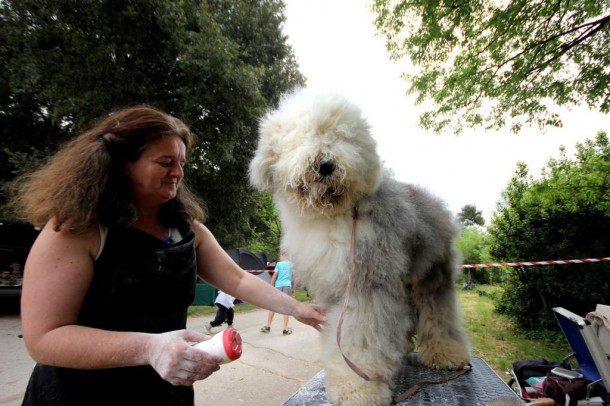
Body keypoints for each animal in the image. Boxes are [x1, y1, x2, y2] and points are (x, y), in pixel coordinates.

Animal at [247, 89, 470, 406]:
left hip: (432, 275)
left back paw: (447, 353)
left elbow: (361, 338)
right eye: (304, 135)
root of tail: (435, 202)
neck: (331, 215)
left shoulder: (366, 283)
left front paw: (358, 389)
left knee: (439, 313)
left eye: (343, 136)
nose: (326, 164)